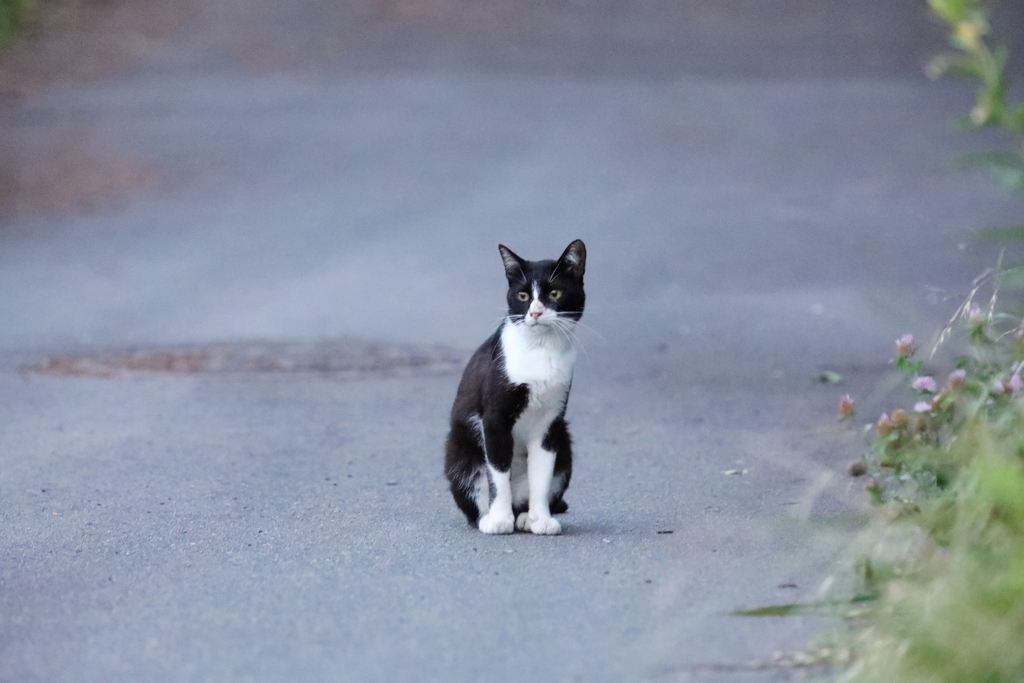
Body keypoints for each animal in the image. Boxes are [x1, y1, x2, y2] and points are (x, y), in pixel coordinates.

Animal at [444, 239, 589, 532]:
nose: (535, 312)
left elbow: (542, 475)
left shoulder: (551, 422)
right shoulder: (494, 418)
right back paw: (487, 517)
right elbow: (498, 470)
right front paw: (499, 519)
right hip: (460, 445)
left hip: (565, 439)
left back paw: (524, 517)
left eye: (554, 293)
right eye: (523, 297)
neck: (541, 350)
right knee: (473, 483)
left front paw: (541, 519)